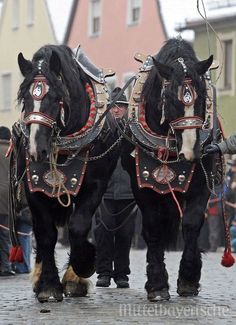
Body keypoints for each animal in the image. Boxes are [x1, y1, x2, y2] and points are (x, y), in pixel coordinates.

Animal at [11, 45, 118, 302]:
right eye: (25, 99)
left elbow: (78, 227)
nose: (35, 150)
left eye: (55, 98)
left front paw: (82, 268)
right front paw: (48, 285)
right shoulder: (34, 187)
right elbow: (46, 234)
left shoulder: (95, 186)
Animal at [121, 38, 221, 302]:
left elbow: (192, 224)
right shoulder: (143, 186)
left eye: (203, 96)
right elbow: (154, 228)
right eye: (169, 97)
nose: (191, 150)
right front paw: (157, 284)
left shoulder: (202, 184)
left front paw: (188, 278)